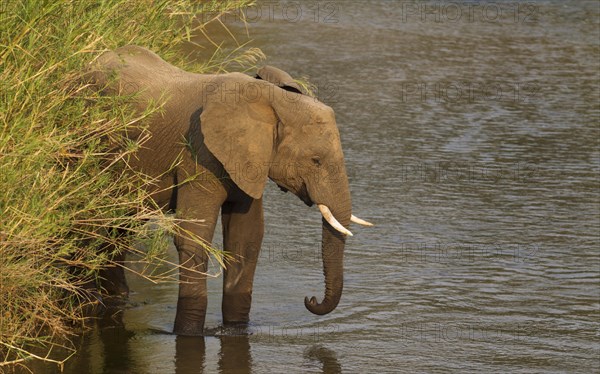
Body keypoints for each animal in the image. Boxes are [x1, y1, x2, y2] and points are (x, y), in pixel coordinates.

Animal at [84, 44, 370, 336]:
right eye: (316, 160)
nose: (309, 299)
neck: (271, 99)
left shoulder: (248, 162)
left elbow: (246, 238)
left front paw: (236, 329)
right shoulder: (200, 154)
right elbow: (193, 236)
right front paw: (188, 333)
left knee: (122, 223)